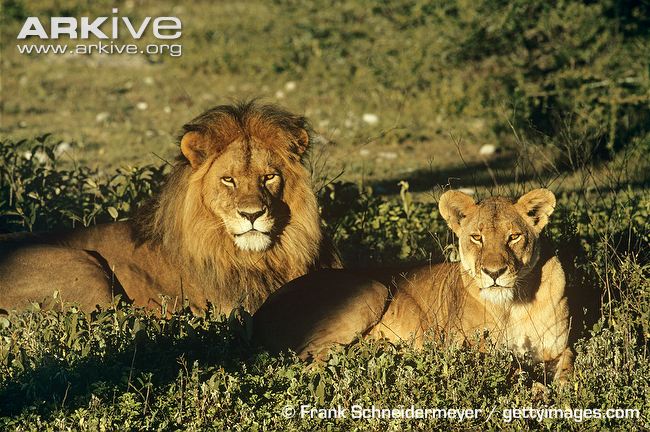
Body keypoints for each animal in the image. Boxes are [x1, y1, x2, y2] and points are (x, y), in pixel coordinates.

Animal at [253, 189, 572, 382]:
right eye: (477, 237)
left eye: (514, 236)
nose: (494, 273)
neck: (512, 304)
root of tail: (260, 309)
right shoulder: (472, 352)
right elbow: (516, 373)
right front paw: (538, 391)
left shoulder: (558, 347)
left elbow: (569, 367)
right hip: (371, 290)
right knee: (308, 364)